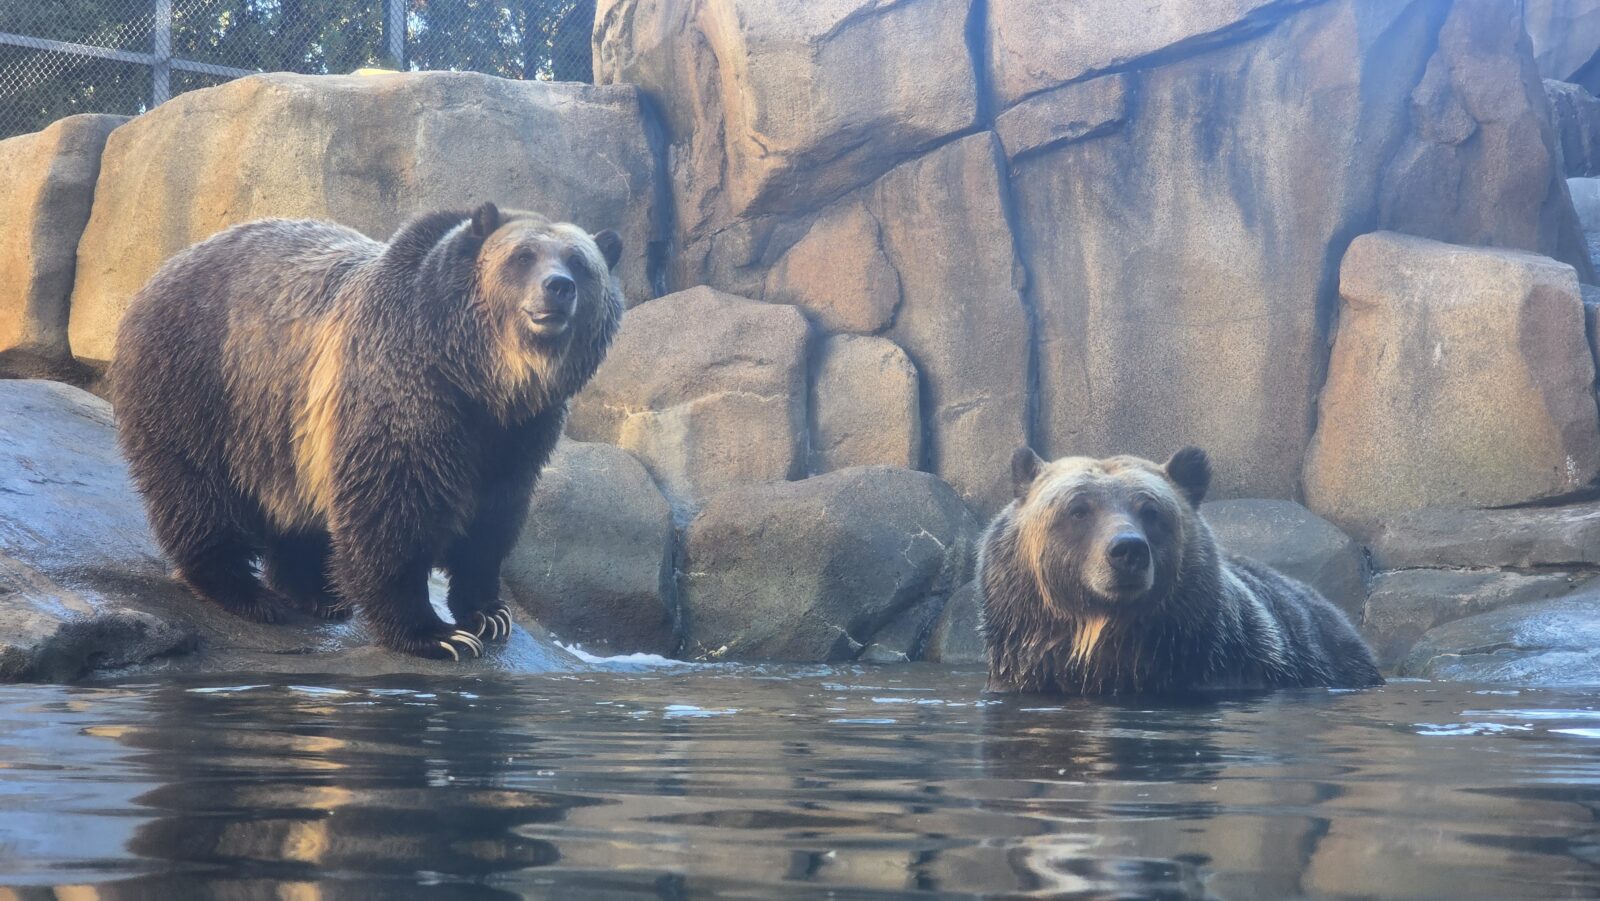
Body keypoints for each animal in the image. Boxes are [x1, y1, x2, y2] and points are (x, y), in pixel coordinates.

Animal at [110, 203, 623, 660]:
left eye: (580, 263)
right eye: (523, 256)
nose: (558, 287)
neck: (480, 377)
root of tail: (165, 268)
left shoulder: (520, 432)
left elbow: (493, 517)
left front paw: (488, 612)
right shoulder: (406, 384)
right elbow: (394, 506)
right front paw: (436, 634)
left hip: (280, 428)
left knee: (290, 505)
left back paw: (315, 593)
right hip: (203, 381)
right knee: (197, 487)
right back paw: (242, 592)